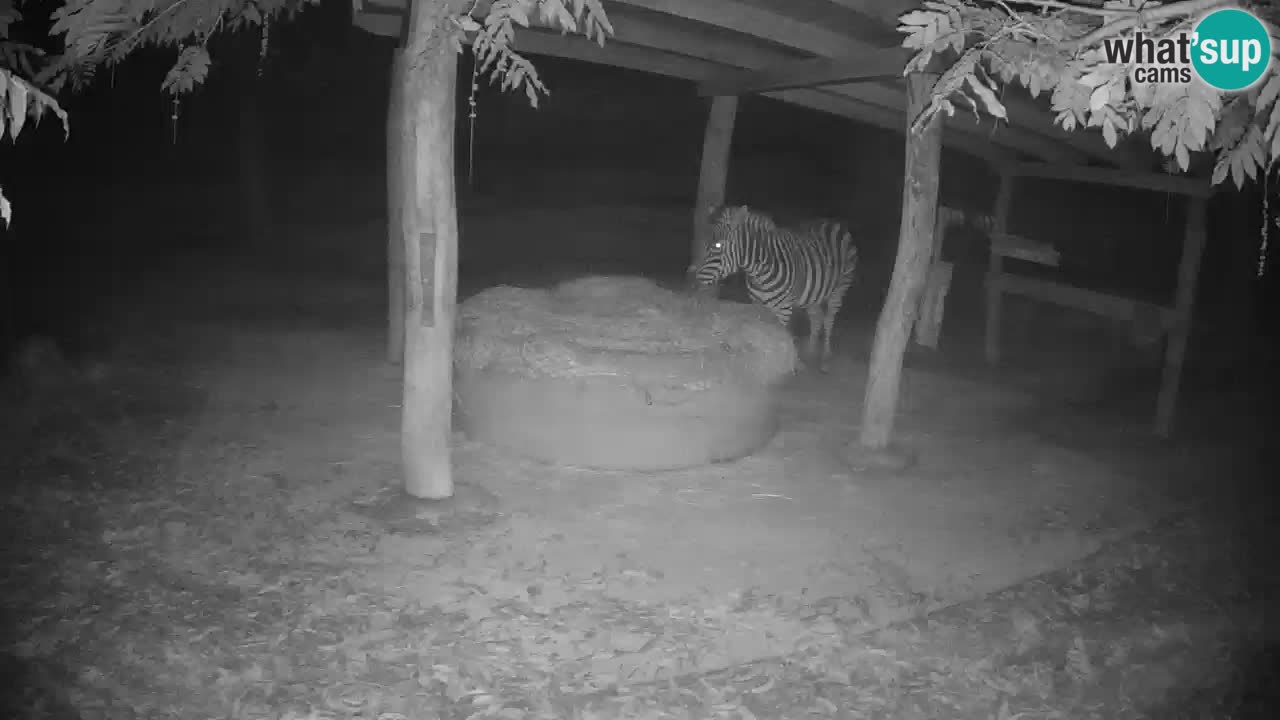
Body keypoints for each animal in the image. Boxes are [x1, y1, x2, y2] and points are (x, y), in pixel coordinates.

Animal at [688, 205, 860, 373]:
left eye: (718, 245)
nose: (694, 279)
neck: (759, 274)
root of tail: (830, 221)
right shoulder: (756, 305)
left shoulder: (784, 310)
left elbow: (782, 336)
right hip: (813, 295)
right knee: (817, 318)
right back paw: (809, 352)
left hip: (840, 289)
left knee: (829, 320)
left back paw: (825, 359)